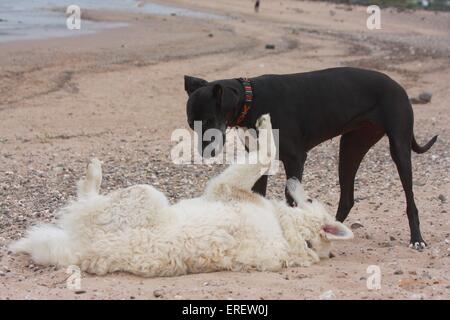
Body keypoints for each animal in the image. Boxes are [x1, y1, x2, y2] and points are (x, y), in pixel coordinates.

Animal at [10, 115, 354, 278]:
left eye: (310, 200)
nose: (294, 179)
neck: (291, 232)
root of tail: (79, 251)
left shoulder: (223, 187)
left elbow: (265, 153)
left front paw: (262, 124)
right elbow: (264, 154)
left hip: (143, 194)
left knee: (85, 199)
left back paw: (93, 173)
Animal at [185, 67, 438, 248]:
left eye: (208, 120)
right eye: (191, 123)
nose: (204, 152)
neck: (252, 100)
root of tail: (399, 86)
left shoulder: (295, 159)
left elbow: (291, 198)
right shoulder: (261, 159)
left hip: (399, 148)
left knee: (410, 199)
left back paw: (417, 239)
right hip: (351, 148)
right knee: (347, 198)